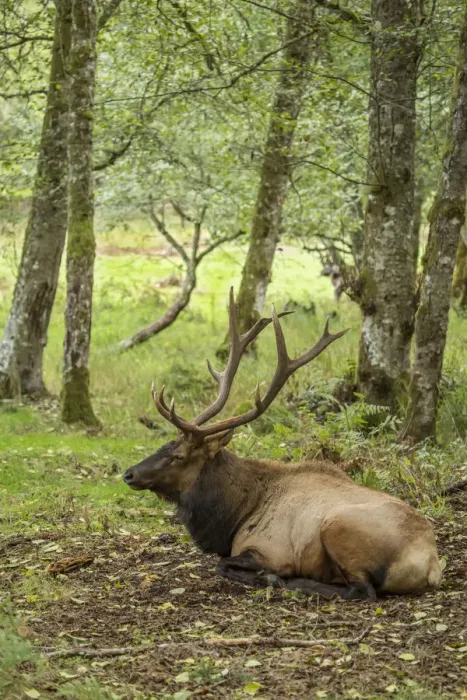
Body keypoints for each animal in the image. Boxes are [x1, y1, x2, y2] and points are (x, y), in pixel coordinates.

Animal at [123, 289, 442, 600]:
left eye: (178, 455)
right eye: (165, 444)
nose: (129, 473)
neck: (235, 515)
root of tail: (431, 567)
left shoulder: (269, 550)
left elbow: (222, 565)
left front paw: (269, 577)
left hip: (338, 525)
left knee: (361, 591)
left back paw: (292, 583)